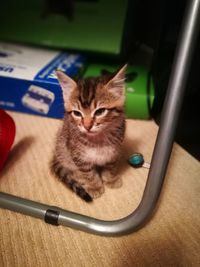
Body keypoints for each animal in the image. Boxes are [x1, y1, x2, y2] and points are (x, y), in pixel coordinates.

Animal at [51, 65, 126, 203]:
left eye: (100, 111)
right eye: (77, 113)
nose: (87, 126)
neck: (98, 140)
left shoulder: (114, 152)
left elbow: (110, 167)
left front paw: (110, 179)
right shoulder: (79, 157)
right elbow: (88, 173)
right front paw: (94, 186)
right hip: (63, 150)